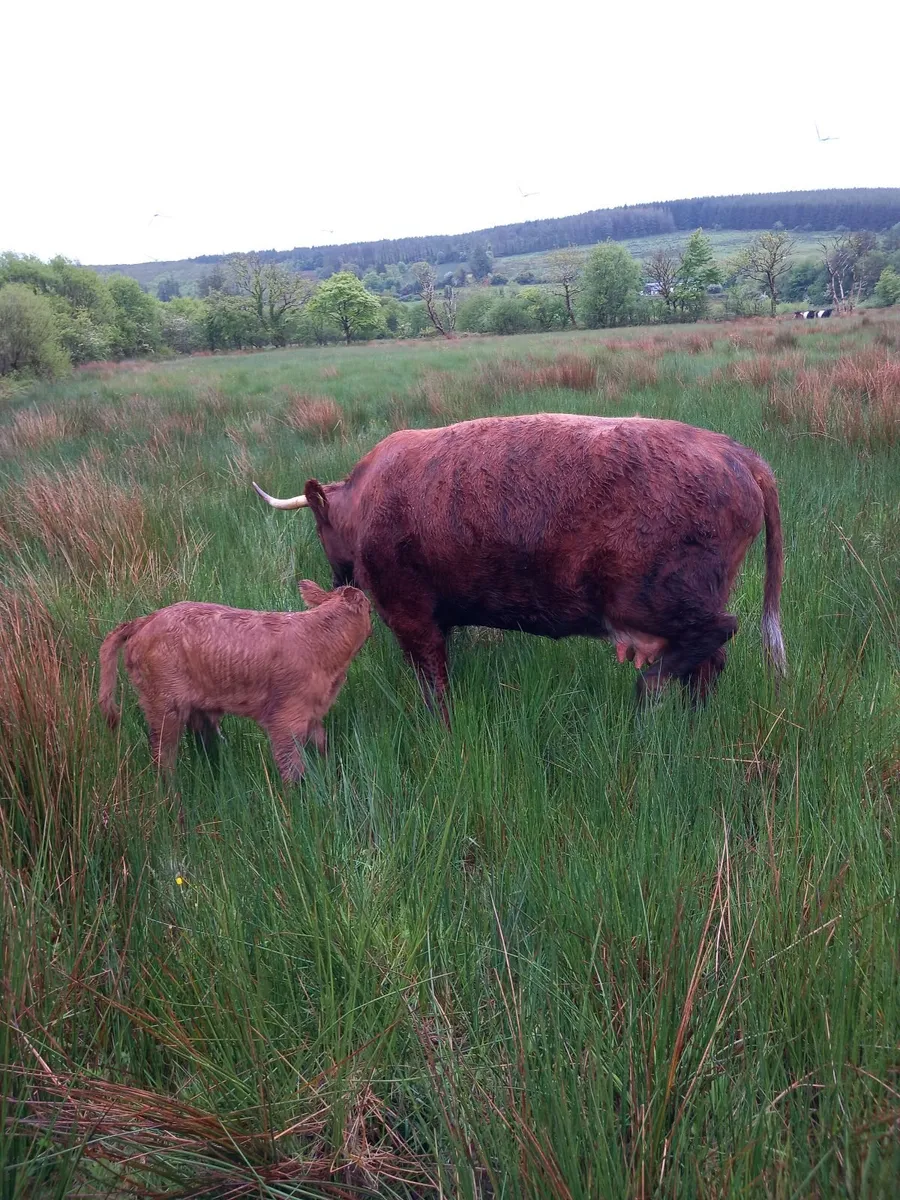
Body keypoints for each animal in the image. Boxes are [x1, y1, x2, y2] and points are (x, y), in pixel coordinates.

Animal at [99, 581, 371, 780]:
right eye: (369, 607)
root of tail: (143, 621)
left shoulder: (313, 712)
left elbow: (323, 746)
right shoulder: (285, 717)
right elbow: (291, 768)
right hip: (163, 703)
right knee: (161, 753)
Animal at [253, 414, 785, 718]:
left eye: (319, 530)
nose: (336, 578)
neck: (365, 499)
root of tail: (735, 453)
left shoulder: (410, 615)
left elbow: (432, 683)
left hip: (657, 600)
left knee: (715, 637)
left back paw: (651, 690)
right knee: (707, 663)